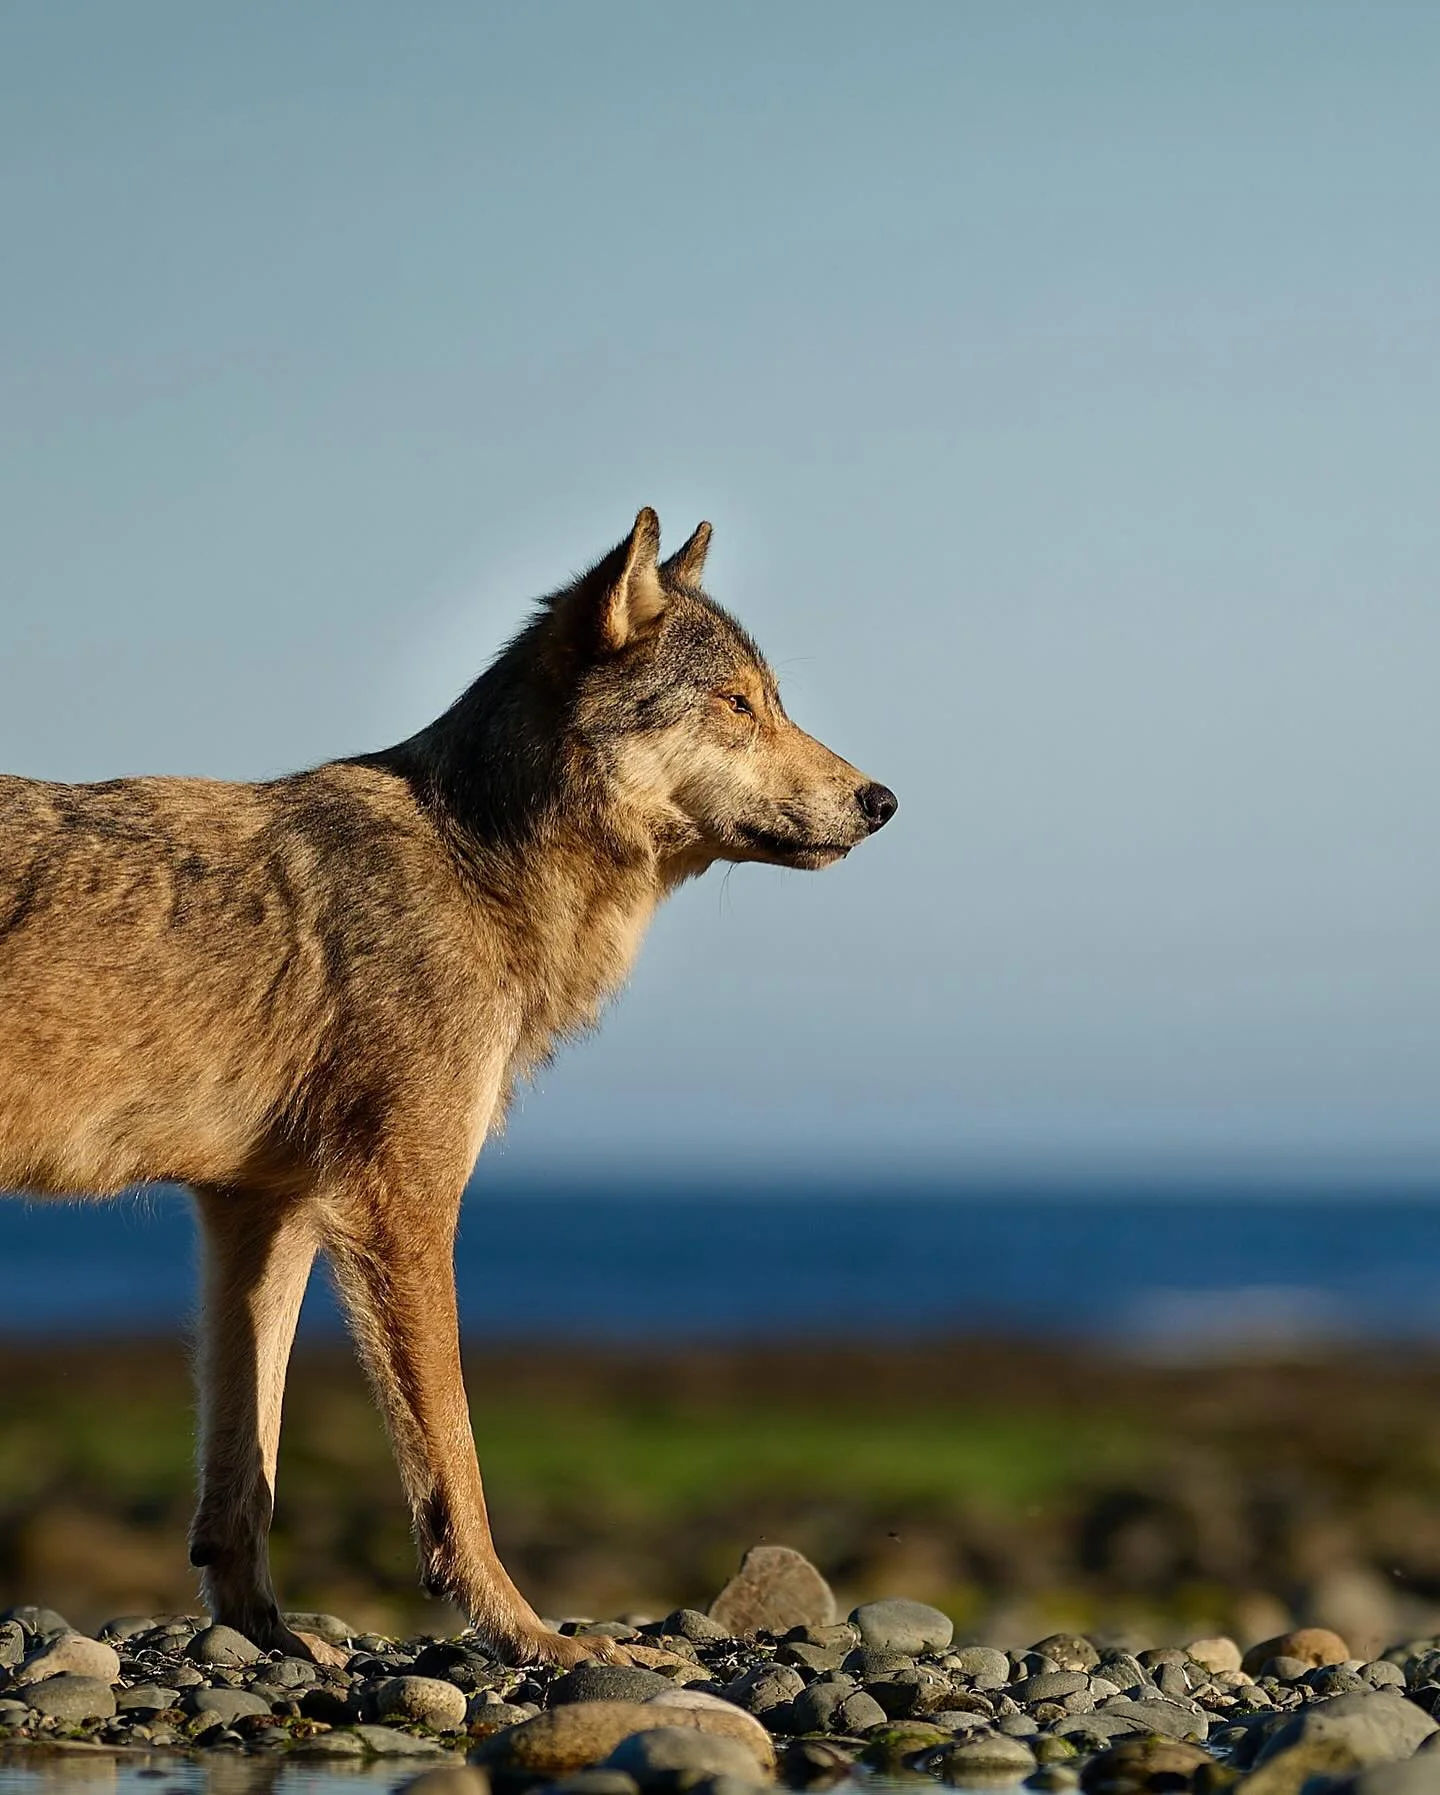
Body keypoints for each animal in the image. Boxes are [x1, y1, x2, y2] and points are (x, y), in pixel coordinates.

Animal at [0, 508, 896, 1666]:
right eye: (737, 703)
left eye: (771, 699)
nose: (883, 800)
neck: (478, 867)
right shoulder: (402, 1204)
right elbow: (454, 1465)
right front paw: (531, 1634)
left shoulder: (262, 1213)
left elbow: (247, 1468)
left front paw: (267, 1635)